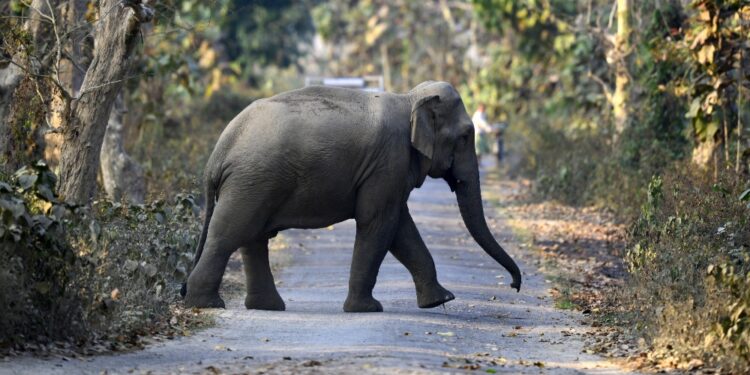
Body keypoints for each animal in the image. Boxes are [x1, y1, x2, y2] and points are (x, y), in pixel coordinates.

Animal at [182, 81, 524, 312]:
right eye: (466, 136)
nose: (514, 285)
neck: (410, 98)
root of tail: (220, 149)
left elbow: (400, 228)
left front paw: (441, 300)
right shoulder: (389, 160)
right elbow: (379, 222)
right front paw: (367, 309)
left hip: (254, 182)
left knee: (253, 238)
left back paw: (266, 307)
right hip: (253, 180)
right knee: (230, 234)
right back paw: (207, 304)